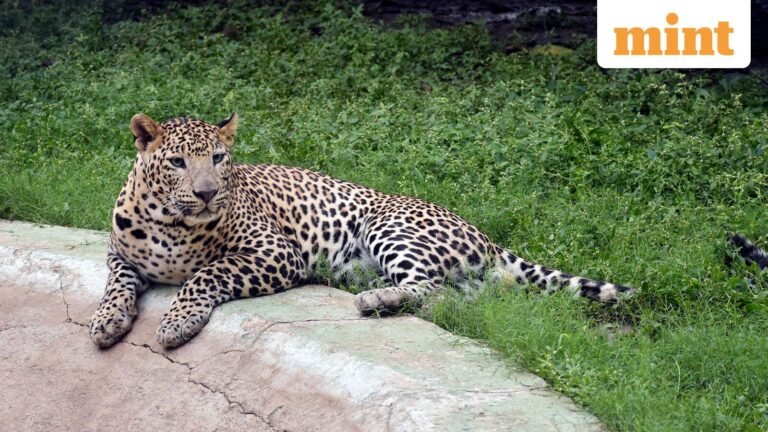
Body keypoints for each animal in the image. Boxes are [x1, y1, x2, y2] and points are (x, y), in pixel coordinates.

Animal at [89, 113, 634, 349]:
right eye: (178, 162)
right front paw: (106, 322)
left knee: (432, 289)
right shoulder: (120, 255)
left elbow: (205, 275)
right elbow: (116, 284)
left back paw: (376, 300)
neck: (171, 221)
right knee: (458, 300)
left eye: (219, 159)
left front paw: (176, 322)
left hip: (386, 224)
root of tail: (486, 235)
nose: (206, 193)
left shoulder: (275, 253)